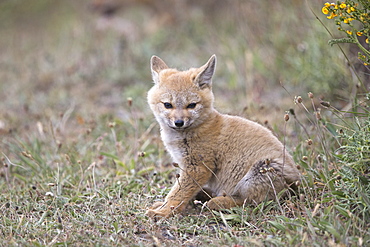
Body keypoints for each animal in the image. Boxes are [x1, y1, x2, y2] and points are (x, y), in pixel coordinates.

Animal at [145, 54, 300, 218]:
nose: (179, 122)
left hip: (259, 171)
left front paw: (164, 212)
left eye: (191, 105)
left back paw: (217, 202)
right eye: (167, 105)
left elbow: (177, 195)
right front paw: (163, 206)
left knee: (250, 203)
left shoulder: (197, 168)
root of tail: (298, 183)